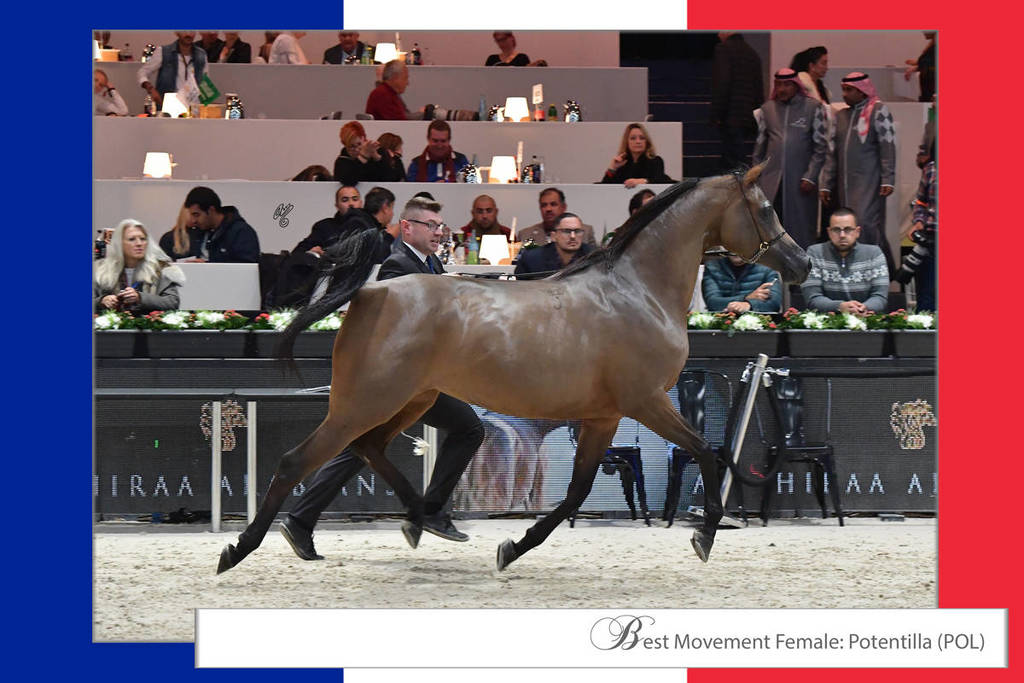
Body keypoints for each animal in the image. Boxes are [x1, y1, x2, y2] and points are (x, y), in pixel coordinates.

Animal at [216, 164, 810, 574]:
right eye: (764, 207)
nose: (801, 263)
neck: (636, 292)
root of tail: (370, 291)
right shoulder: (646, 402)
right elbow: (708, 453)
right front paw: (704, 536)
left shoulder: (604, 417)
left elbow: (575, 492)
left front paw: (512, 547)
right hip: (364, 402)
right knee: (298, 461)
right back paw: (240, 549)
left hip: (409, 401)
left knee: (367, 450)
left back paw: (423, 518)